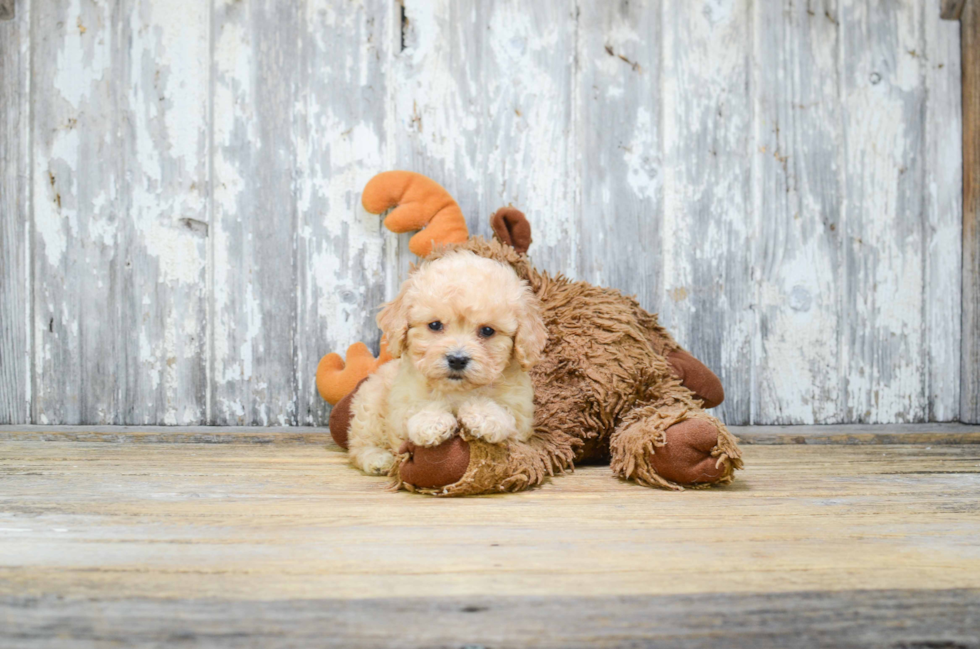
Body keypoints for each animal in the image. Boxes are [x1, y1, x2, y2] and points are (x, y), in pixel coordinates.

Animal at [346, 251, 548, 474]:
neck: (458, 391)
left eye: (487, 330)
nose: (457, 360)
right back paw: (378, 459)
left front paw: (484, 415)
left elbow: (506, 414)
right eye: (435, 325)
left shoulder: (522, 416)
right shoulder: (401, 404)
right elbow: (414, 410)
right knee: (359, 443)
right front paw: (432, 421)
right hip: (370, 403)